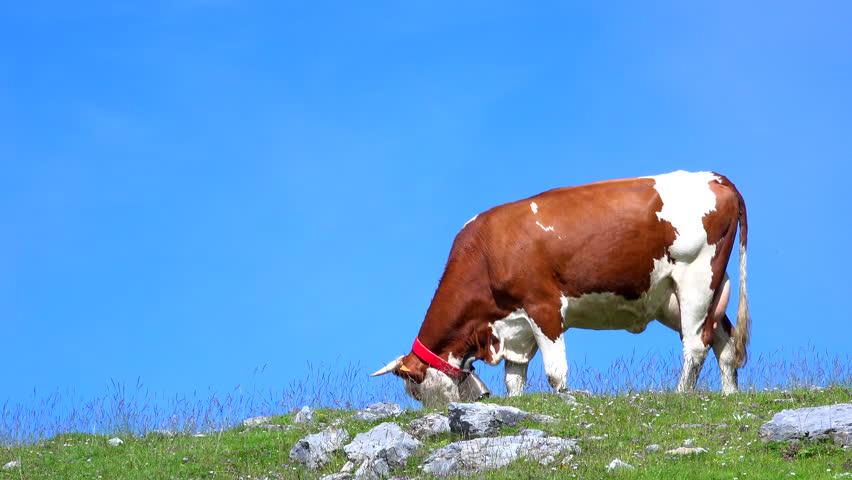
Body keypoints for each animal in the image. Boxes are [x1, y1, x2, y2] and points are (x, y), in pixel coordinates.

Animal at [372, 171, 750, 406]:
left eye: (415, 391)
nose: (481, 398)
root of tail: (714, 176)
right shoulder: (515, 326)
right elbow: (514, 377)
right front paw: (514, 403)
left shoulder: (544, 306)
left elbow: (555, 372)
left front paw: (563, 398)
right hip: (684, 294)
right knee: (724, 337)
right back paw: (730, 394)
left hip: (696, 278)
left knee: (696, 343)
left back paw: (681, 392)